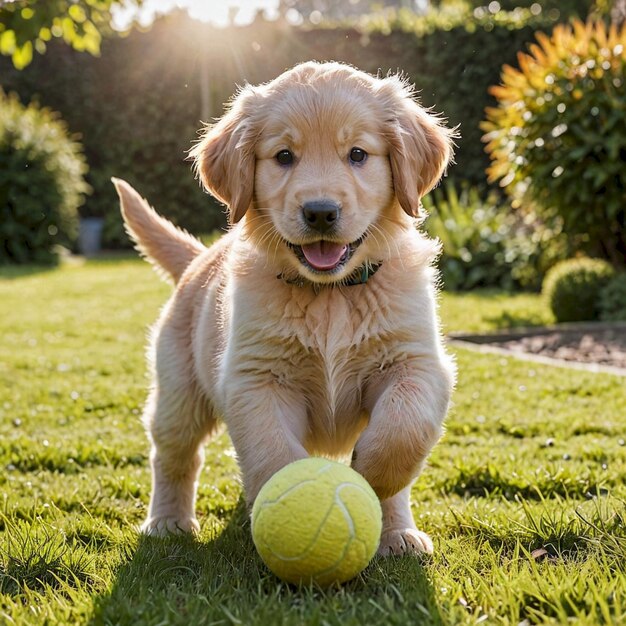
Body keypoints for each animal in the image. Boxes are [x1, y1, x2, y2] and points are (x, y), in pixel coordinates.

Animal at [112, 61, 454, 552]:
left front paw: (377, 488)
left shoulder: (416, 361)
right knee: (174, 455)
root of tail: (199, 258)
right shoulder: (256, 379)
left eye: (358, 154)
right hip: (179, 390)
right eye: (284, 156)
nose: (320, 212)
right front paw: (297, 511)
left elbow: (401, 430)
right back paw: (168, 521)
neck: (330, 294)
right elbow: (273, 454)